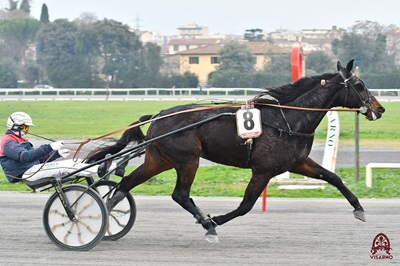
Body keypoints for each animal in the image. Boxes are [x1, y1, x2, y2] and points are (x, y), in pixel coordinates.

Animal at [88, 60, 384, 243]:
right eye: (359, 85)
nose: (379, 108)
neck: (288, 120)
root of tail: (159, 114)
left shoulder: (297, 163)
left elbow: (333, 178)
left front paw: (359, 208)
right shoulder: (263, 170)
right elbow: (245, 205)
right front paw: (215, 220)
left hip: (158, 159)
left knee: (125, 184)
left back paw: (102, 217)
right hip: (188, 159)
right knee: (180, 194)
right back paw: (206, 224)